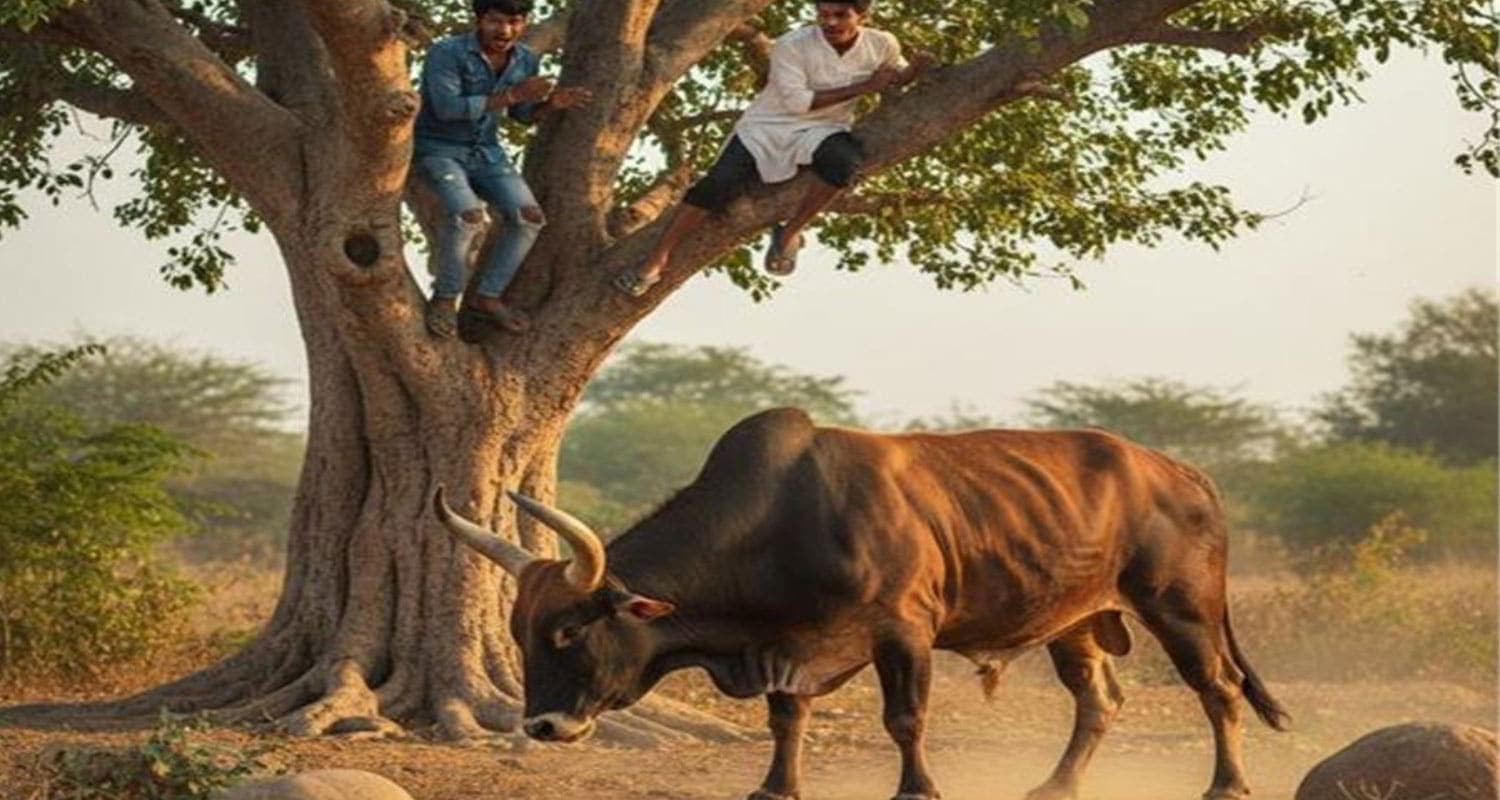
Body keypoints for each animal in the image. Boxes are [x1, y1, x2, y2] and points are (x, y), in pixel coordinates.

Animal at [433, 407, 1288, 800]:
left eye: (569, 630)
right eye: (518, 632)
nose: (542, 726)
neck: (780, 518)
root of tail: (1179, 470)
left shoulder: (903, 633)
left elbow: (904, 718)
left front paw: (919, 787)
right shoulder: (789, 649)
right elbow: (787, 717)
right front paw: (776, 786)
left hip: (1180, 608)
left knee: (1218, 688)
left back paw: (1227, 783)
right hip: (1074, 623)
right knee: (1099, 699)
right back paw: (1056, 786)